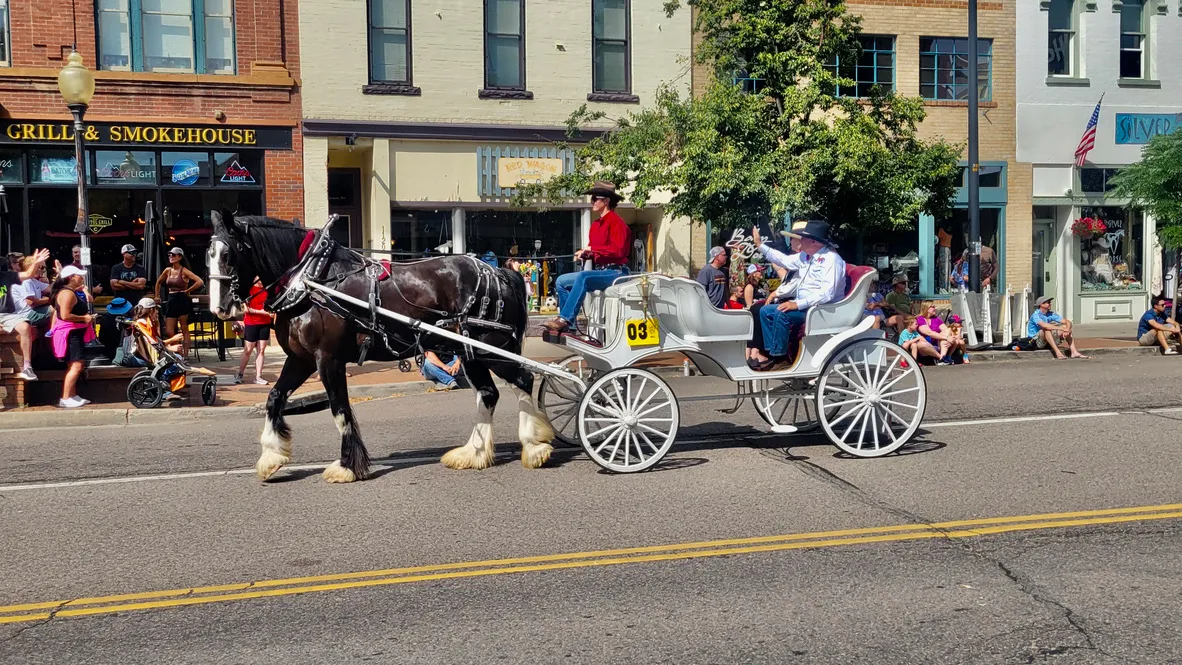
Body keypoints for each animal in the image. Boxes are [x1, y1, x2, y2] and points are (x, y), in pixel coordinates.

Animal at [209, 210, 557, 481]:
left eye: (229, 254)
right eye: (208, 254)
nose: (220, 308)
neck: (309, 281)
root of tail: (500, 271)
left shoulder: (328, 358)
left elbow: (339, 409)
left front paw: (347, 466)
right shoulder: (301, 359)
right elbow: (275, 398)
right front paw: (271, 457)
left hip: (489, 348)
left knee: (524, 379)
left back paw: (534, 447)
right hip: (469, 351)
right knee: (488, 393)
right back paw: (473, 453)